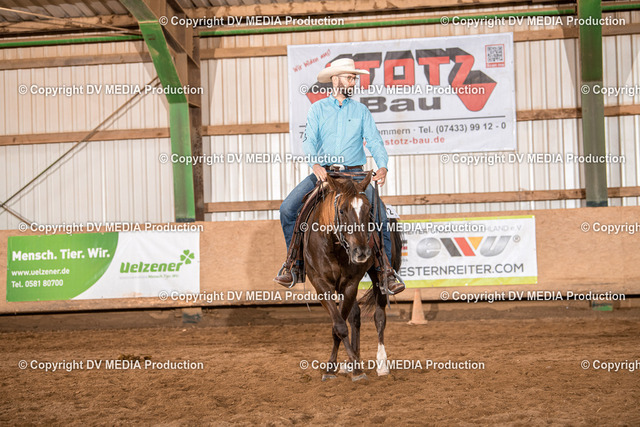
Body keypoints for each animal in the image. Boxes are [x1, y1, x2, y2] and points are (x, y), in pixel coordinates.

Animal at [303, 170, 402, 381]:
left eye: (368, 209)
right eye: (341, 210)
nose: (362, 251)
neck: (335, 245)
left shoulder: (349, 284)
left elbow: (339, 327)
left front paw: (356, 371)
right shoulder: (321, 284)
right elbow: (339, 324)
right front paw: (336, 367)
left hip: (379, 278)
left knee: (379, 317)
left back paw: (382, 364)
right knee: (355, 317)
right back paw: (352, 361)